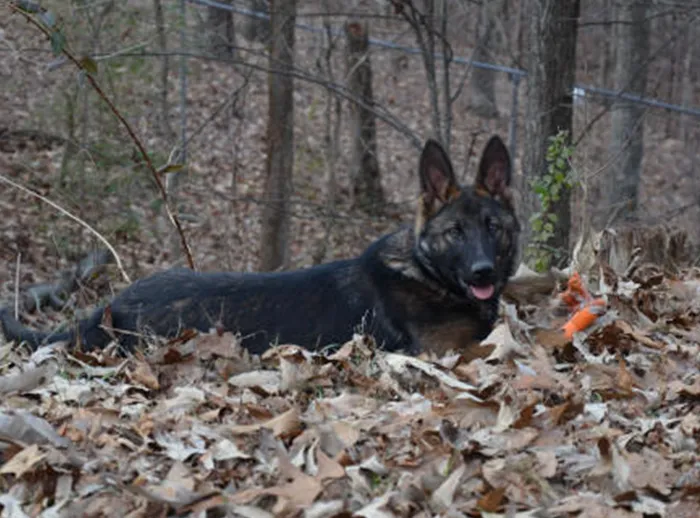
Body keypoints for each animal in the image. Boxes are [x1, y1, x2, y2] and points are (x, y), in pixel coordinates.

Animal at [0, 136, 520, 357]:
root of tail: (108, 308)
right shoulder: (448, 350)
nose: (482, 272)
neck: (425, 270)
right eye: (455, 232)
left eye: (492, 226)